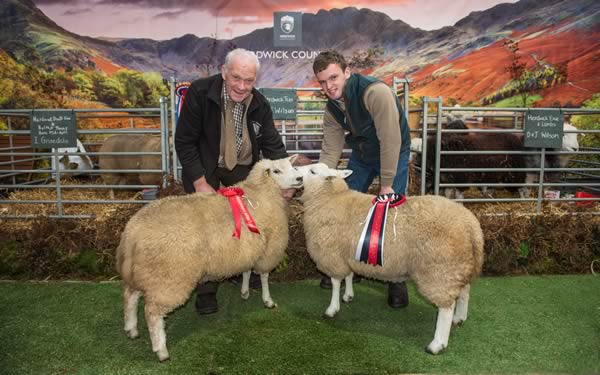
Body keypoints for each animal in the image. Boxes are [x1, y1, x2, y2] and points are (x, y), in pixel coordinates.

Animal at [116, 155, 302, 362]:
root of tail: (131, 233)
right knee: (152, 312)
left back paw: (131, 328)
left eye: (292, 165)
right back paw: (161, 349)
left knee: (130, 296)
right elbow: (264, 276)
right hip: (168, 277)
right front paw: (268, 300)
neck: (262, 192)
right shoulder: (269, 248)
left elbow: (246, 270)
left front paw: (245, 291)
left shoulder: (248, 247)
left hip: (141, 272)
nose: (299, 179)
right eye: (276, 171)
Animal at [298, 164, 486, 356]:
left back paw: (437, 343)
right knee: (464, 292)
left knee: (446, 307)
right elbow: (349, 275)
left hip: (439, 271)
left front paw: (332, 308)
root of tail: (472, 226)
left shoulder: (332, 255)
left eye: (312, 171)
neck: (329, 198)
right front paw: (348, 295)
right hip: (459, 267)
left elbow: (336, 283)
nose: (297, 168)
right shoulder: (347, 254)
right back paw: (459, 318)